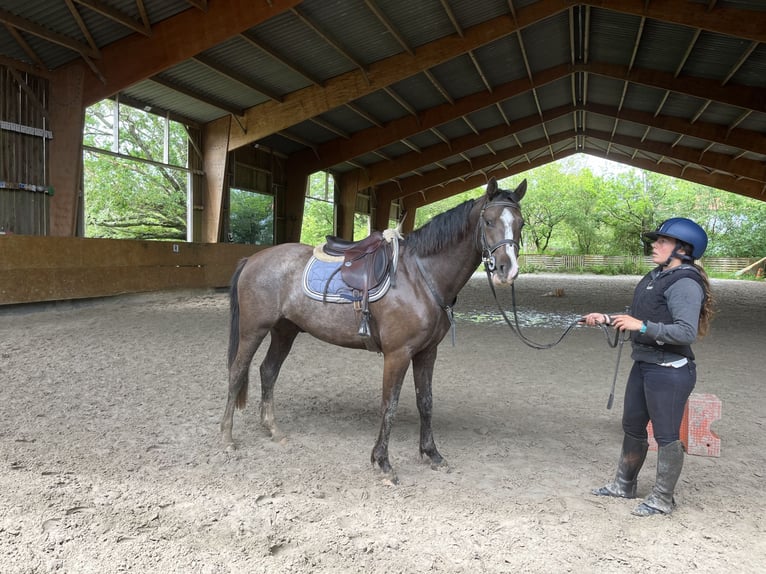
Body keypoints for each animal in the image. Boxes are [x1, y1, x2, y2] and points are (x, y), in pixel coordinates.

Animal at [219, 178, 524, 484]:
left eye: (520, 223)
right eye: (488, 221)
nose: (507, 271)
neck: (420, 277)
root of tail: (252, 259)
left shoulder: (427, 353)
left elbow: (425, 402)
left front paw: (432, 454)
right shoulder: (398, 354)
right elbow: (389, 405)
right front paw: (383, 462)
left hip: (285, 331)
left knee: (268, 371)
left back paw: (273, 430)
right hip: (253, 330)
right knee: (236, 373)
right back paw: (227, 438)